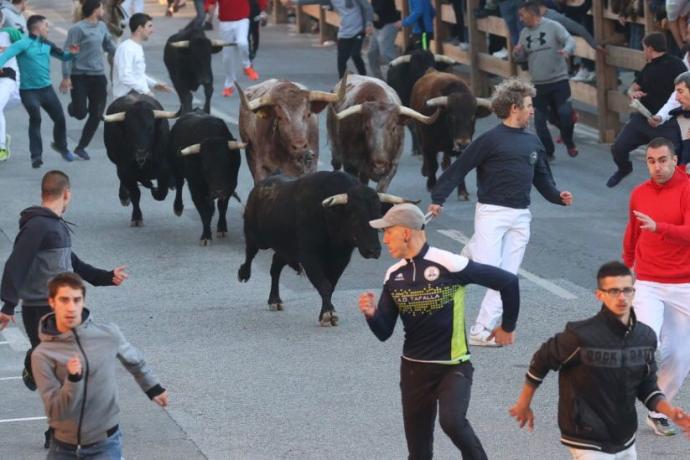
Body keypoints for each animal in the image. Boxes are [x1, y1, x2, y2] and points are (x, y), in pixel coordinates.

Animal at [103, 90, 179, 226]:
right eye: (130, 130)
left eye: (151, 128)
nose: (141, 152)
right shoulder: (125, 170)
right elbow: (135, 194)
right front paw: (137, 217)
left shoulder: (163, 169)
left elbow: (161, 192)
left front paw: (155, 190)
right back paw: (124, 196)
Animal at [167, 108, 245, 244]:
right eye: (205, 168)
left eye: (227, 165)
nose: (219, 191)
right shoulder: (195, 188)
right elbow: (204, 212)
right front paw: (206, 236)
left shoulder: (230, 185)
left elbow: (222, 207)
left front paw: (222, 228)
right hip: (176, 169)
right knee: (179, 184)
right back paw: (178, 208)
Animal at [408, 69, 490, 199]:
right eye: (452, 117)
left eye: (473, 117)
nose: (463, 143)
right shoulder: (429, 146)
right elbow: (433, 165)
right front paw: (431, 185)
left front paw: (462, 192)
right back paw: (426, 170)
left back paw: (445, 164)